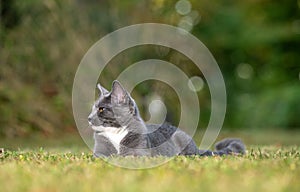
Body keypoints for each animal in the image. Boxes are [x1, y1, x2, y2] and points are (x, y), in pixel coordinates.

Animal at [87, 80, 246, 157]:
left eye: (101, 109)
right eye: (93, 108)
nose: (88, 118)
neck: (115, 134)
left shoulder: (139, 153)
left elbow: (126, 156)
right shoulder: (99, 152)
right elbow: (103, 156)